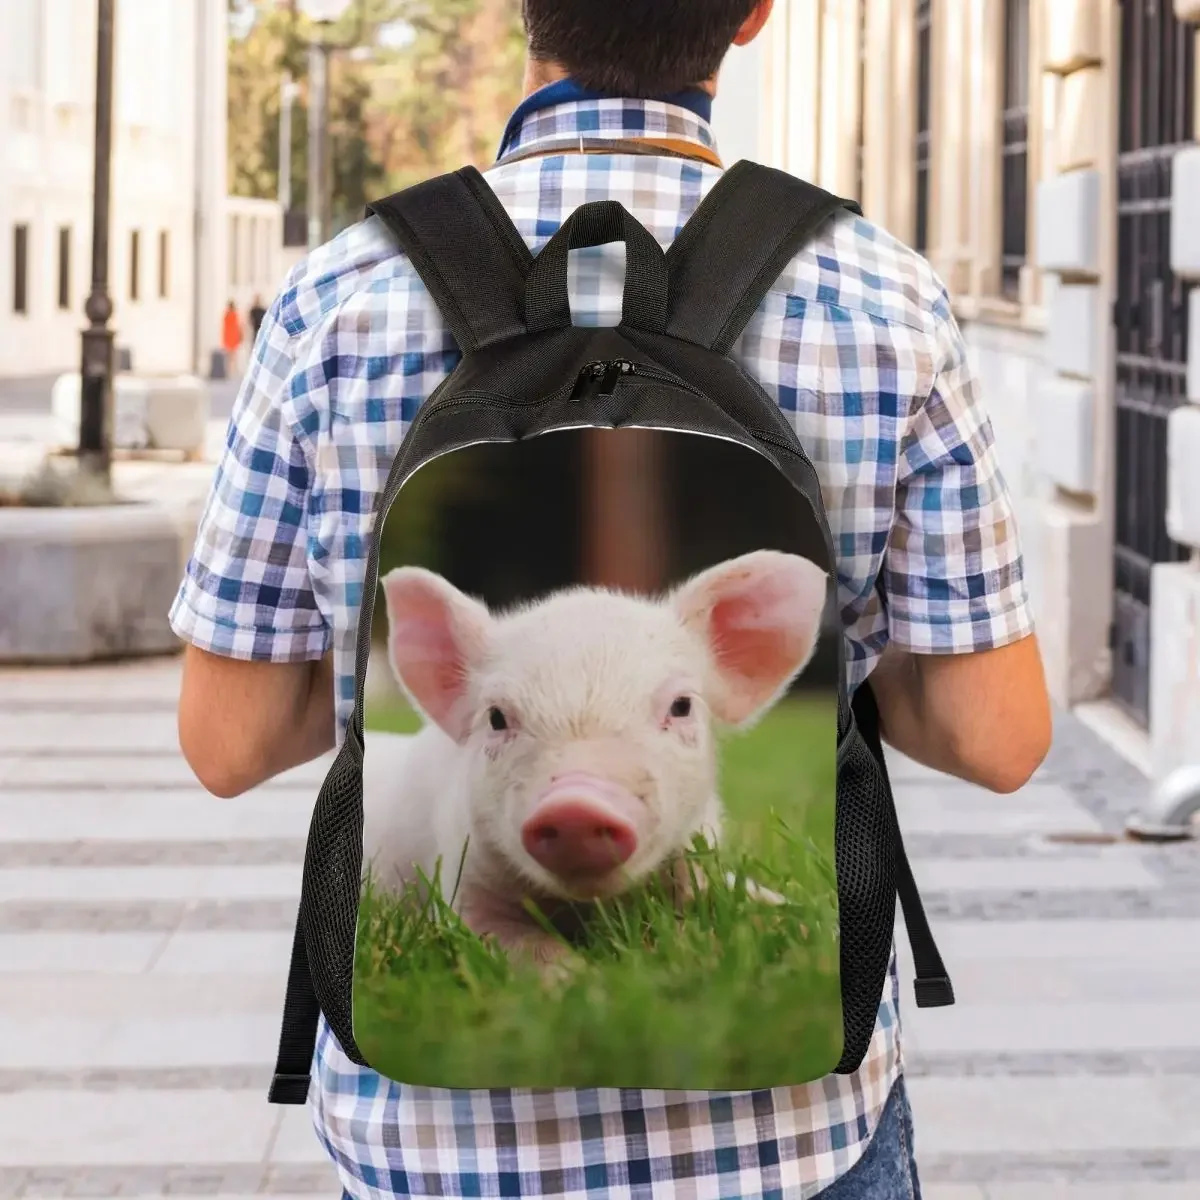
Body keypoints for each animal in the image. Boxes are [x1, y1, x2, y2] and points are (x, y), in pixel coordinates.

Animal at [361, 549, 828, 969]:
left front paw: (813, 933)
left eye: (681, 706)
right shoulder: (463, 882)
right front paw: (583, 980)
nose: (576, 806)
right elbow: (518, 947)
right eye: (496, 717)